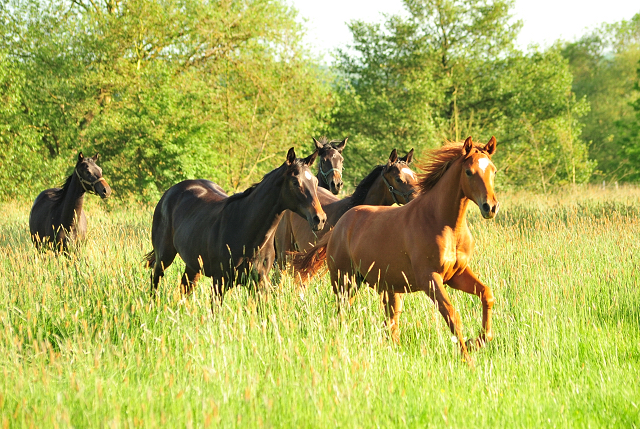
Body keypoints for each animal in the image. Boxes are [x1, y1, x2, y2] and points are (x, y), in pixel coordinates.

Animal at [145, 147, 324, 300]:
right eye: (295, 182)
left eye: (315, 182)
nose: (320, 219)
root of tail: (171, 191)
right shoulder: (220, 281)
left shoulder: (259, 283)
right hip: (165, 256)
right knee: (156, 277)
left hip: (193, 263)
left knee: (185, 287)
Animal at [294, 137, 500, 362]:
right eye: (469, 172)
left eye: (493, 170)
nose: (490, 207)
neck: (442, 223)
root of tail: (340, 224)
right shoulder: (429, 279)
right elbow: (452, 314)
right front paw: (467, 358)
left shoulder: (457, 275)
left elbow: (487, 294)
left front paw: (478, 341)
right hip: (345, 281)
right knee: (342, 312)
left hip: (387, 289)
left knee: (390, 323)